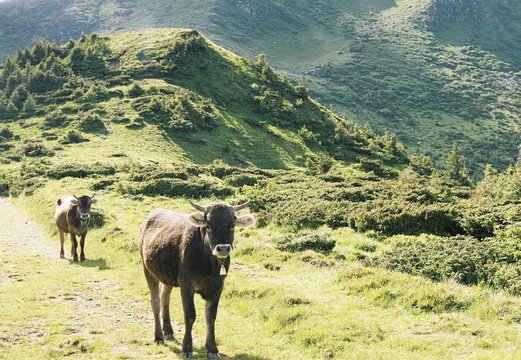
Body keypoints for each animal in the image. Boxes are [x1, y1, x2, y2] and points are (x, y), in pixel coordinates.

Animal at [139, 200, 255, 358]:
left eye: (232, 225)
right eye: (208, 225)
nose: (223, 248)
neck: (209, 267)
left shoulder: (219, 286)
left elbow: (211, 316)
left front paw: (212, 348)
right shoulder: (186, 285)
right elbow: (189, 316)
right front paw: (187, 348)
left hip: (167, 275)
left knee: (165, 298)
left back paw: (168, 332)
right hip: (148, 269)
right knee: (155, 301)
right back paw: (159, 337)